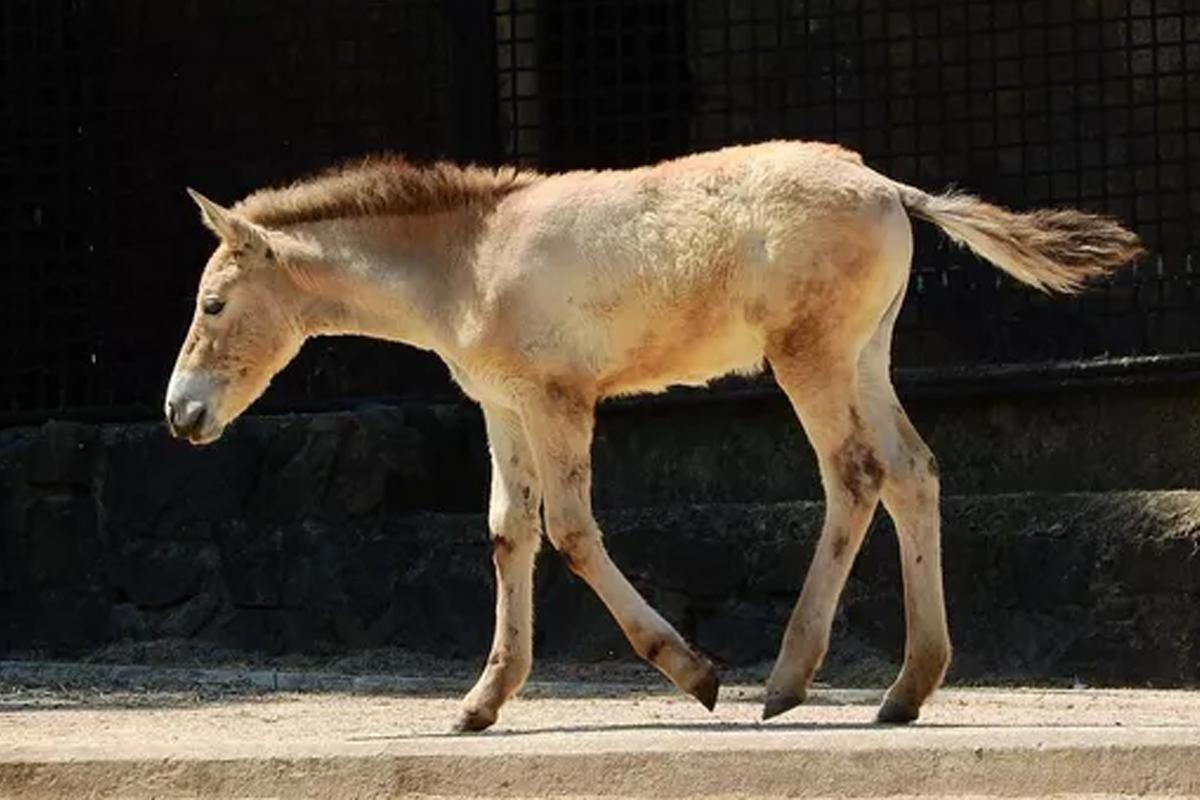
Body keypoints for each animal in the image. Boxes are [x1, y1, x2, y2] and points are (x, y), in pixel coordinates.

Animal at [164, 139, 1137, 734]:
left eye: (211, 304)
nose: (181, 414)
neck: (465, 262)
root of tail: (891, 189)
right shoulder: (502, 408)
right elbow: (507, 535)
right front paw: (481, 703)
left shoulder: (559, 402)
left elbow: (569, 531)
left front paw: (692, 671)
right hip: (866, 356)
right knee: (913, 472)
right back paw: (906, 689)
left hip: (811, 357)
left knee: (855, 475)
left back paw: (786, 682)